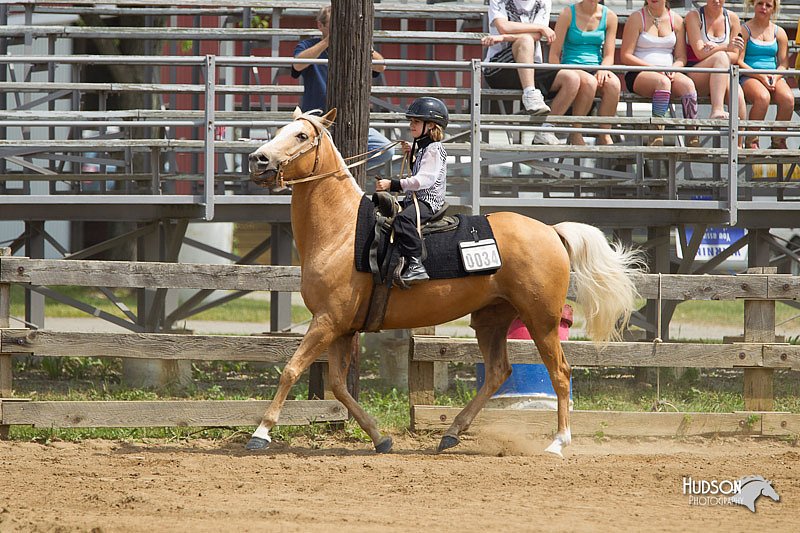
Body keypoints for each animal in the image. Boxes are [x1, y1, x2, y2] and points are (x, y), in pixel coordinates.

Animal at [247, 109, 640, 458]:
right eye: (280, 130)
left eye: (301, 136)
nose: (257, 159)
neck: (342, 231)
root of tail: (551, 231)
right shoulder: (342, 328)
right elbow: (339, 387)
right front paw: (380, 438)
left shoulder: (326, 322)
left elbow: (291, 370)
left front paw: (261, 433)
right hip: (491, 319)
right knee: (498, 372)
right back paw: (451, 432)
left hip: (541, 320)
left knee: (559, 372)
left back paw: (557, 443)